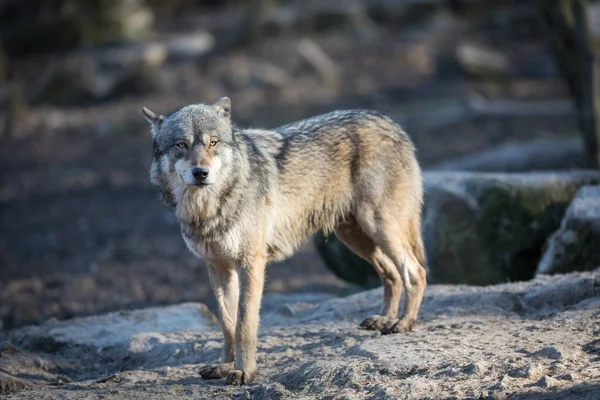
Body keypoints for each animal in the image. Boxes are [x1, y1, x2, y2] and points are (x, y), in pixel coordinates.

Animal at [144, 97, 428, 384]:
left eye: (212, 143)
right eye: (181, 144)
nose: (200, 173)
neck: (210, 206)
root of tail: (389, 120)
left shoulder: (251, 263)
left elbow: (244, 323)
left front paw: (244, 371)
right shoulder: (217, 267)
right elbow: (227, 324)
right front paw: (224, 367)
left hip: (379, 226)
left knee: (415, 271)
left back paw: (403, 323)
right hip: (357, 238)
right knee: (391, 273)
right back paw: (384, 319)